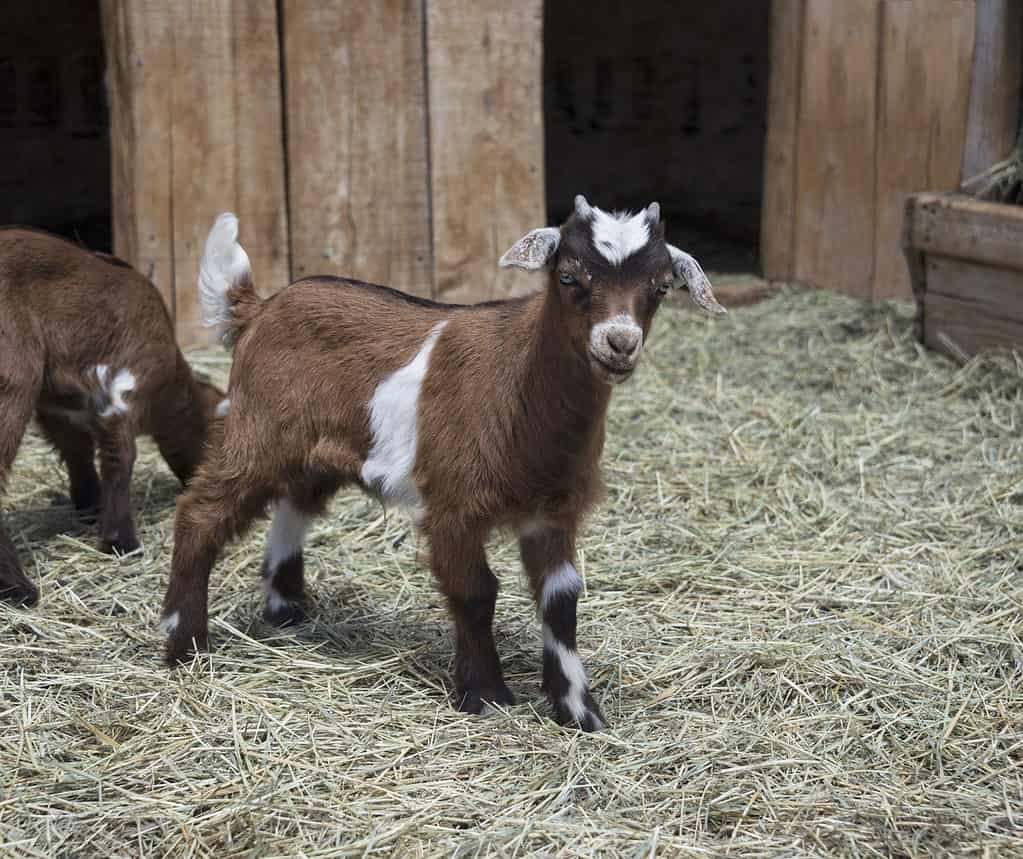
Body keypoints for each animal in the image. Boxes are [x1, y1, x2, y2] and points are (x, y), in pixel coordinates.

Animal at [0, 228, 226, 605]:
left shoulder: (58, 408)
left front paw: (90, 507)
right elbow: (120, 458)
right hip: (12, 377)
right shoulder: (122, 387)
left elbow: (77, 451)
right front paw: (121, 541)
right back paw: (18, 587)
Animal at [161, 198, 720, 728]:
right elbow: (475, 591)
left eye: (660, 288)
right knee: (199, 513)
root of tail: (258, 309)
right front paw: (485, 695)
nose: (619, 343)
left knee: (294, 506)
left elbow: (561, 600)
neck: (521, 387)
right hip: (256, 432)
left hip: (315, 451)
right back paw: (183, 644)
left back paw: (286, 611)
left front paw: (580, 711)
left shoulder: (554, 511)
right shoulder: (453, 504)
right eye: (568, 276)